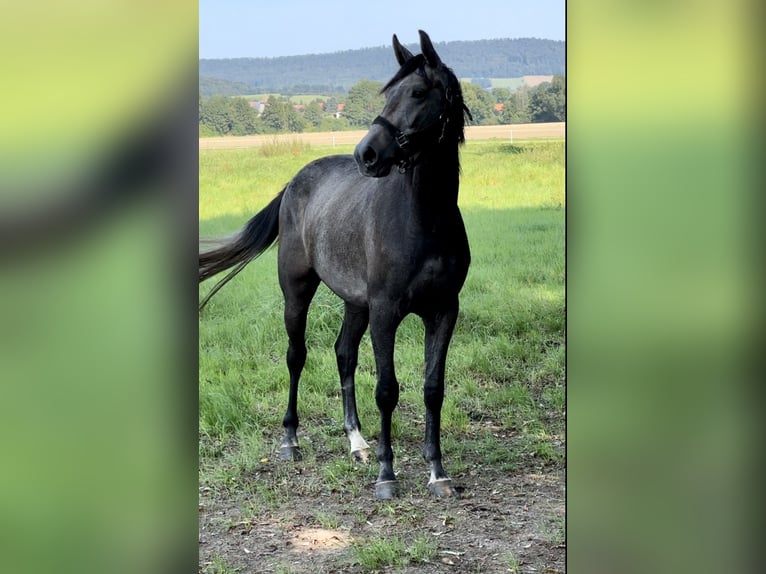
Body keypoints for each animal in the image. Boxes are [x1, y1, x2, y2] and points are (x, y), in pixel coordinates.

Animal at [198, 31, 474, 500]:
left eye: (418, 92)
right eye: (389, 92)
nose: (367, 154)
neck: (424, 220)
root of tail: (294, 182)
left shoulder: (443, 311)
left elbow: (432, 389)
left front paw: (438, 472)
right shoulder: (385, 312)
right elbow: (387, 390)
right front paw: (387, 475)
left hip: (354, 302)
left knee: (344, 354)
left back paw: (357, 443)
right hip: (298, 292)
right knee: (297, 356)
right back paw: (291, 441)